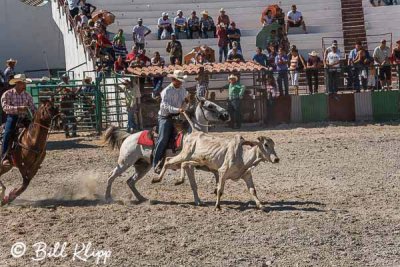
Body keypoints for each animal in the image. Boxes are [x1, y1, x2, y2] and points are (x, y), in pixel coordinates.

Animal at [101, 98, 230, 203]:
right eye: (210, 106)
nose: (226, 114)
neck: (193, 134)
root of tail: (128, 137)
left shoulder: (200, 163)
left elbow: (215, 172)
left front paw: (216, 189)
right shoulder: (189, 165)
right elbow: (193, 184)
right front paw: (198, 201)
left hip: (143, 166)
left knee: (130, 181)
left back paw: (141, 198)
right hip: (125, 162)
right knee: (111, 176)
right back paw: (108, 198)